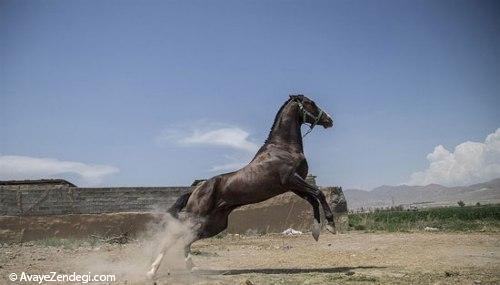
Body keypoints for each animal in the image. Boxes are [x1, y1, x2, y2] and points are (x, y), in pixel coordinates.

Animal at [148, 93, 336, 278]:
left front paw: (316, 232)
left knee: (186, 240)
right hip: (197, 218)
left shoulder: (293, 186)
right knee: (174, 237)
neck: (283, 148)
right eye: (311, 103)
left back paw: (191, 268)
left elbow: (313, 199)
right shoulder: (291, 179)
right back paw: (152, 271)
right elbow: (318, 193)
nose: (329, 120)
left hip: (214, 225)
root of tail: (196, 190)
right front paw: (331, 226)